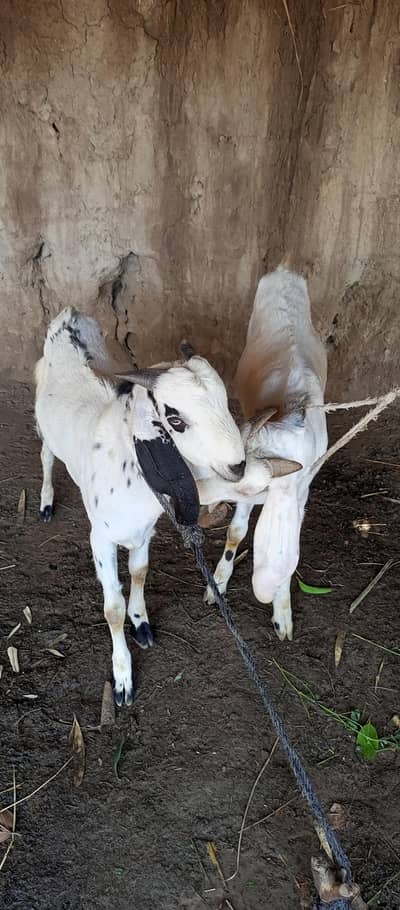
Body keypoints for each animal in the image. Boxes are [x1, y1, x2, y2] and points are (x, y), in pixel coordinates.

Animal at [34, 308, 246, 705]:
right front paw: (122, 678)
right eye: (175, 419)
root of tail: (68, 317)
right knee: (46, 456)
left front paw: (142, 622)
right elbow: (112, 609)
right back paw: (45, 502)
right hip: (44, 427)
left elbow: (140, 572)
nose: (238, 466)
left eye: (227, 402)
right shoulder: (100, 537)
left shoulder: (145, 530)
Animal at [197, 265, 328, 641]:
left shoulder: (299, 490)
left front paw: (282, 612)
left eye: (250, 486)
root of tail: (285, 268)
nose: (197, 494)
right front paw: (217, 584)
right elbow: (236, 532)